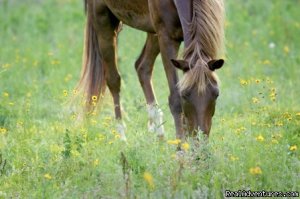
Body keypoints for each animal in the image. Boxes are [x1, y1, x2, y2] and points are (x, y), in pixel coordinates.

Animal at [78, 0, 224, 141]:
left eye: (216, 94)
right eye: (185, 95)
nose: (200, 140)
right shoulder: (167, 37)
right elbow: (175, 99)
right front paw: (181, 145)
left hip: (152, 31)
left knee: (142, 67)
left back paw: (159, 133)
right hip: (103, 21)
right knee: (113, 80)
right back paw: (122, 136)